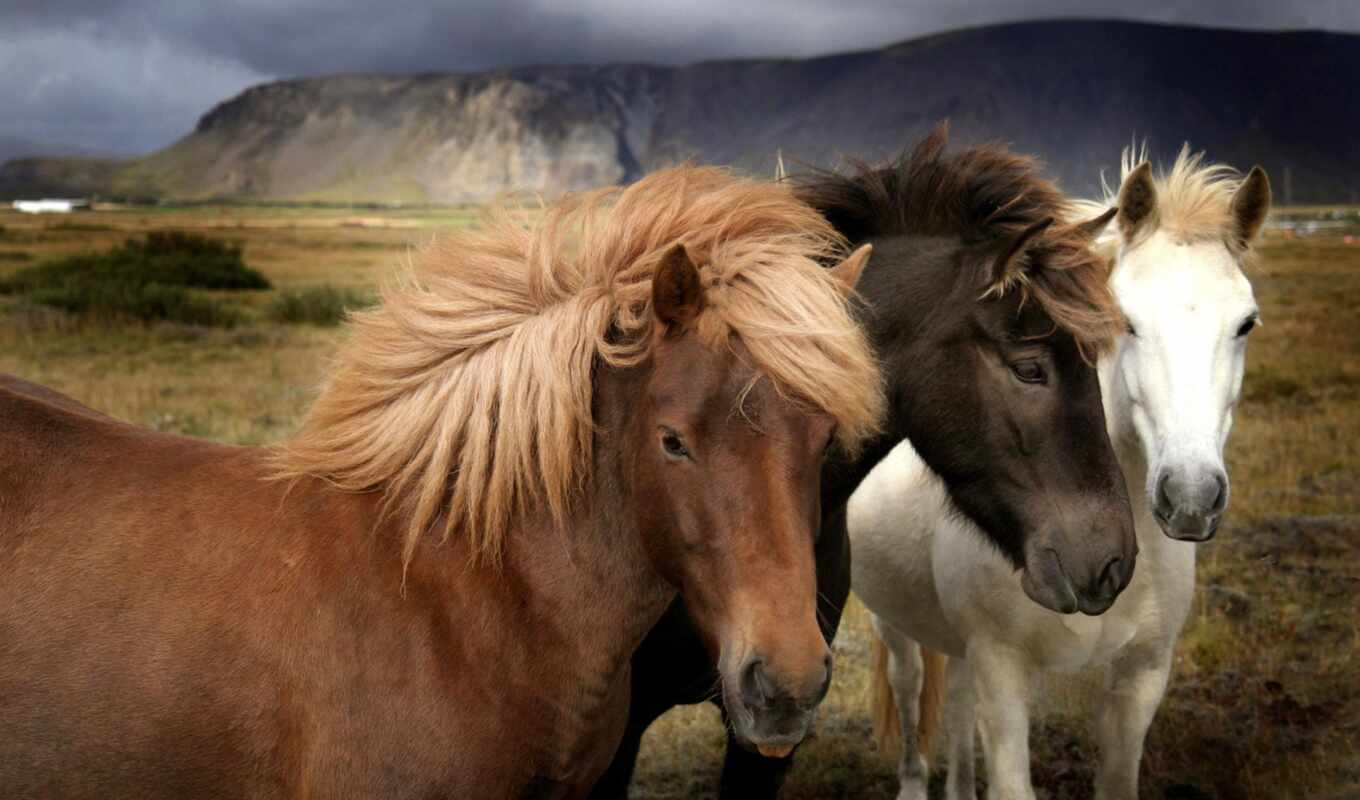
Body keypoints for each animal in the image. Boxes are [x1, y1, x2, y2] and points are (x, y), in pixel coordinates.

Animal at [854, 145, 1267, 800]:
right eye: (1126, 322)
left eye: (1246, 323)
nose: (1192, 496)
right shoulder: (1003, 676)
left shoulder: (1141, 680)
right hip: (890, 620)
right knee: (909, 685)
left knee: (956, 701)